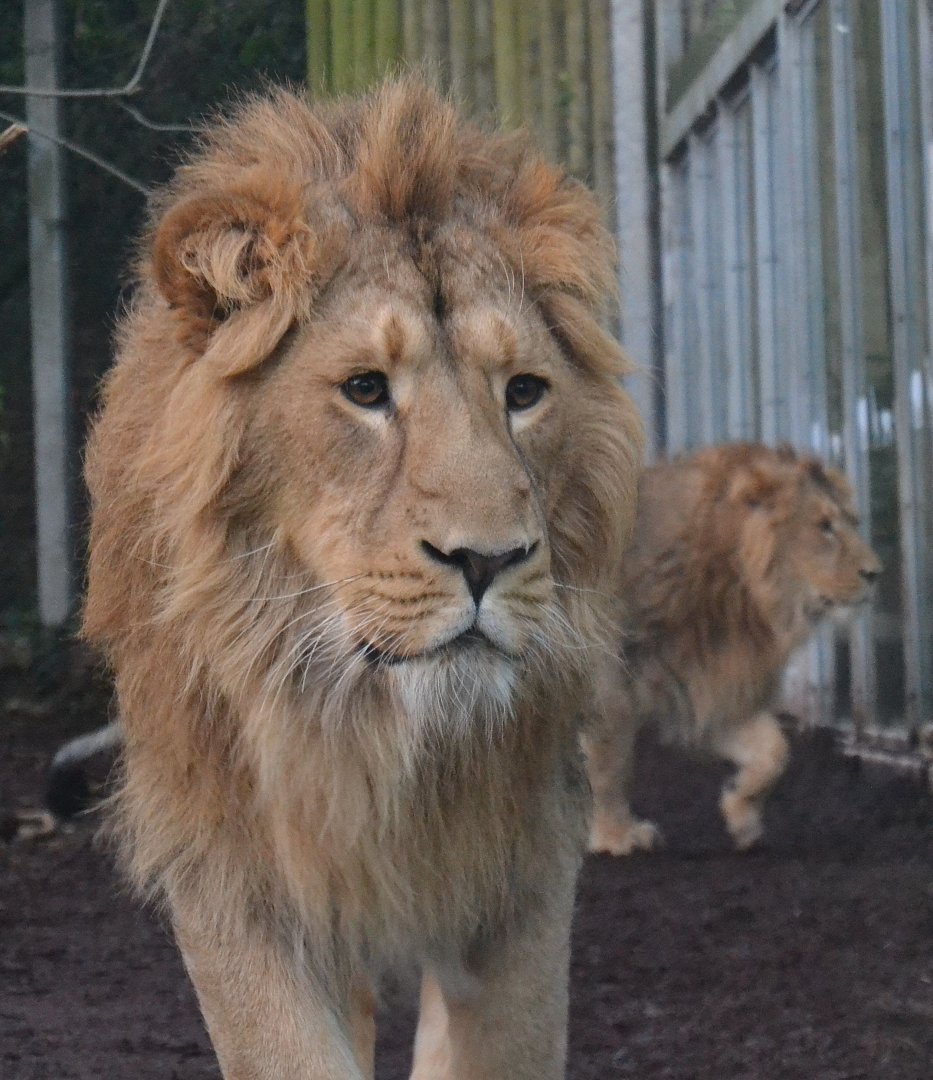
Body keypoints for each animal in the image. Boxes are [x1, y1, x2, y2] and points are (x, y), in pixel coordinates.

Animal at [81, 80, 642, 1079]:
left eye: (524, 392)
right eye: (366, 390)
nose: (486, 559)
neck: (366, 727)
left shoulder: (524, 868)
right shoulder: (228, 869)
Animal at [584, 442, 881, 856]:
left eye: (852, 522)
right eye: (825, 526)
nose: (876, 573)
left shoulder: (705, 684)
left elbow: (774, 751)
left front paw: (742, 815)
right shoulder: (605, 686)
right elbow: (611, 765)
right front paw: (615, 836)